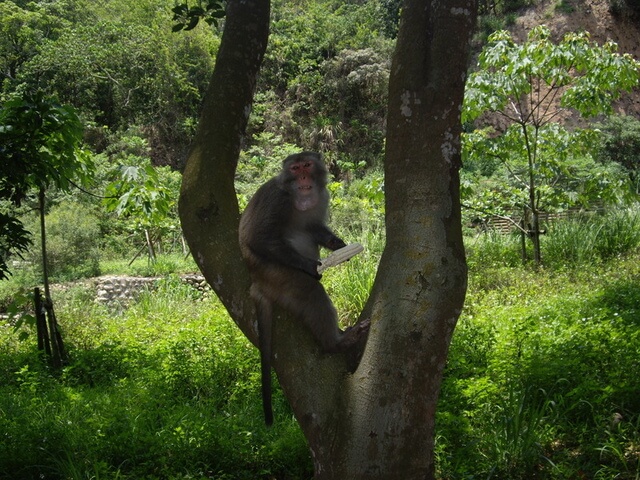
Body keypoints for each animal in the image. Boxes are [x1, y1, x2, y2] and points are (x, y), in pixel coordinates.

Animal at [240, 152, 368, 426]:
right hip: (276, 275)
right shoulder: (277, 198)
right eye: (295, 168)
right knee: (311, 293)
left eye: (307, 165)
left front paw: (338, 245)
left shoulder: (323, 197)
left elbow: (314, 227)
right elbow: (258, 236)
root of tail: (256, 282)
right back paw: (335, 342)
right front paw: (311, 266)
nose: (303, 179)